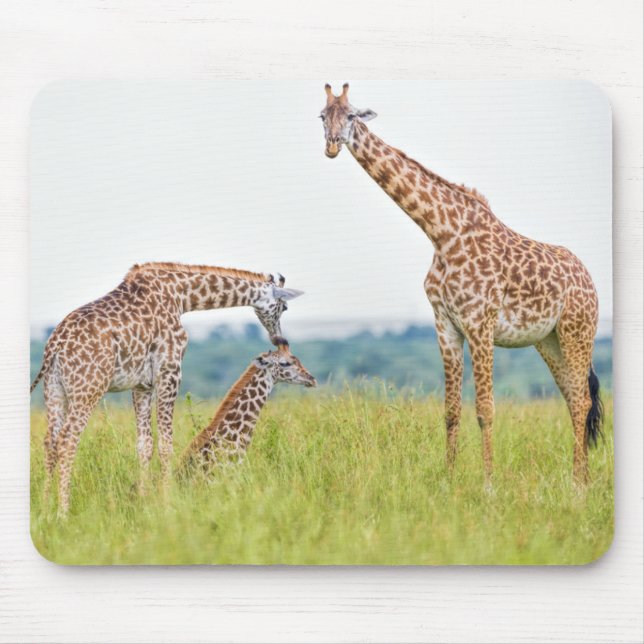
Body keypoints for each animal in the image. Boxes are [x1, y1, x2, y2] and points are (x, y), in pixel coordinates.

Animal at [319, 83, 603, 485]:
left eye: (352, 115)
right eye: (322, 116)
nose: (331, 145)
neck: (441, 233)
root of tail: (589, 278)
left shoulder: (480, 323)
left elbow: (485, 409)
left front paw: (488, 484)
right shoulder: (446, 324)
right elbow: (451, 410)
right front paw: (449, 479)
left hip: (577, 331)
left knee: (582, 400)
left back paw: (579, 485)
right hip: (548, 341)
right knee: (574, 399)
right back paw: (582, 479)